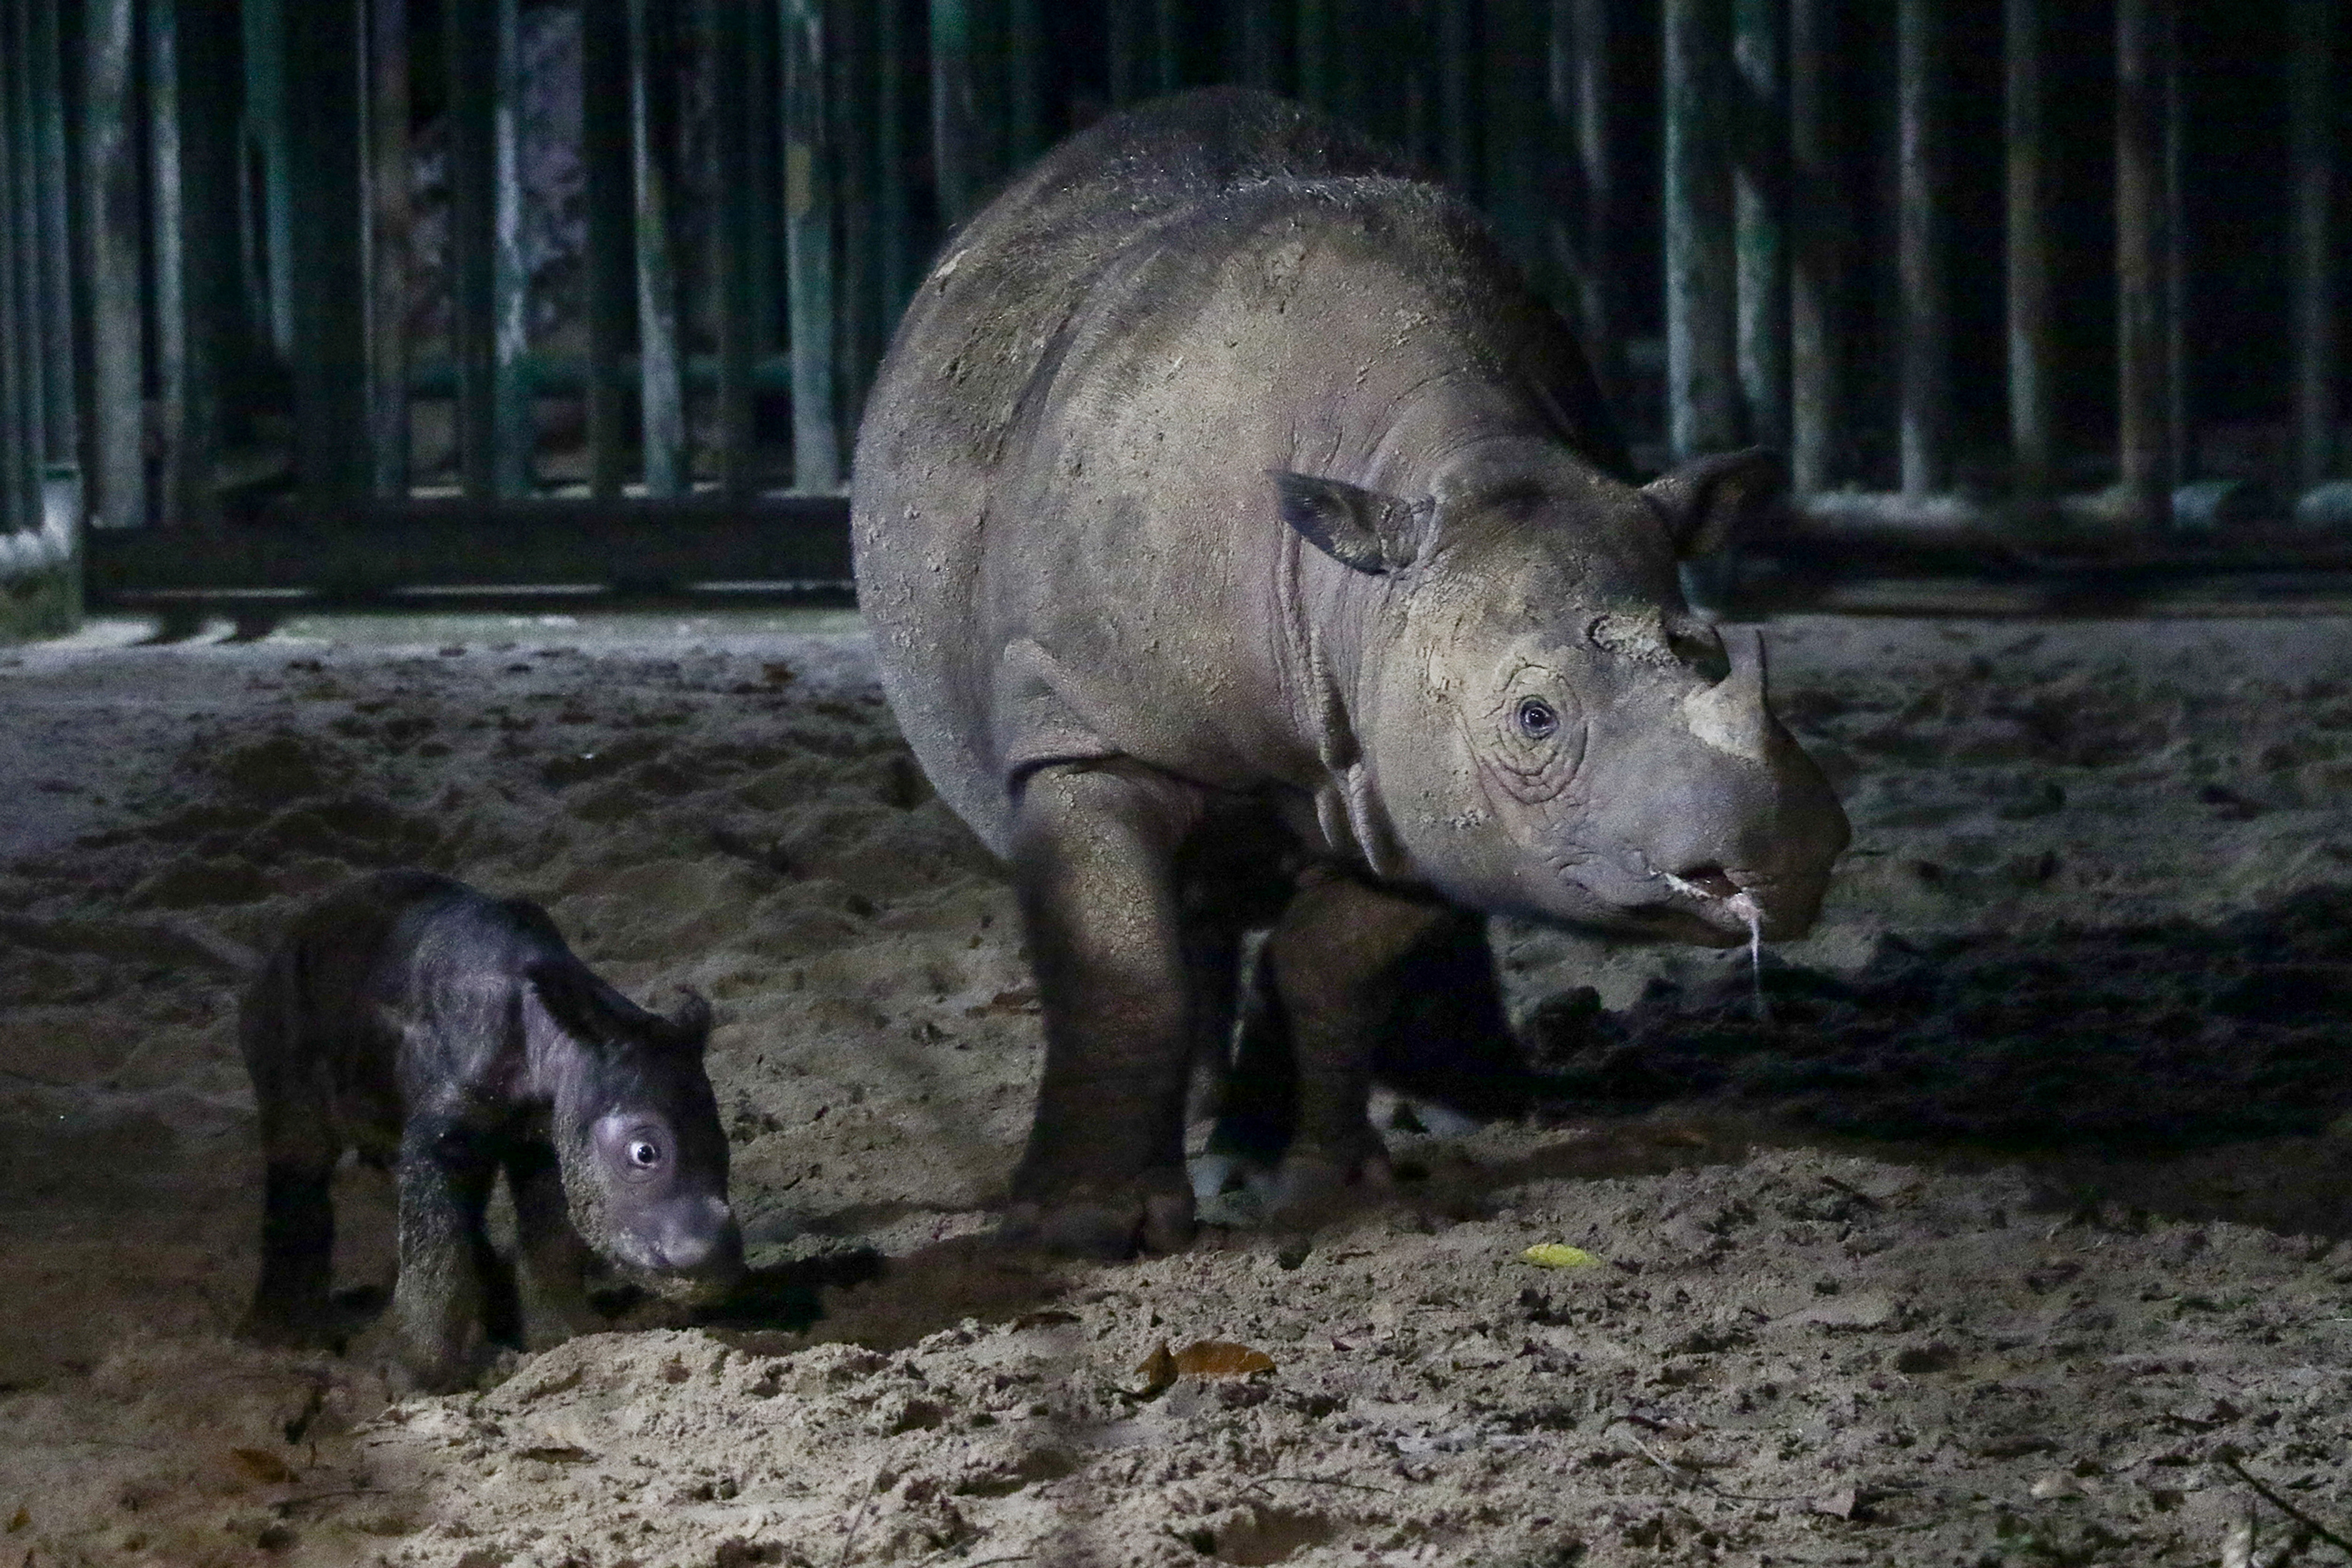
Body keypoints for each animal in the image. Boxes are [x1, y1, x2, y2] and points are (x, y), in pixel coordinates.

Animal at [851, 88, 1849, 1255]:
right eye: (1534, 718)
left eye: (1708, 652)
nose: (1787, 853)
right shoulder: (1086, 726)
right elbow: (1125, 963)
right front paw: (1087, 1224)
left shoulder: (1414, 765)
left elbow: (1333, 955)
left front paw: (1294, 1180)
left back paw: (1462, 1108)